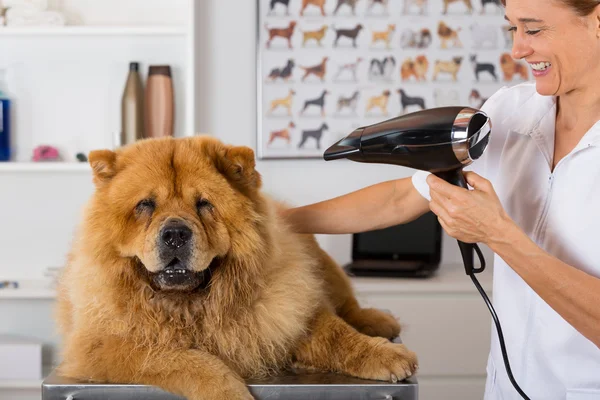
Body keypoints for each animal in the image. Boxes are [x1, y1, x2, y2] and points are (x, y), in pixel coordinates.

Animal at [55, 137, 418, 400]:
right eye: (145, 205)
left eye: (204, 204)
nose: (175, 234)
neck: (192, 305)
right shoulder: (103, 346)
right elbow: (190, 361)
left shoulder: (289, 314)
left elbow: (338, 334)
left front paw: (389, 355)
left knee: (346, 304)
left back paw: (378, 321)